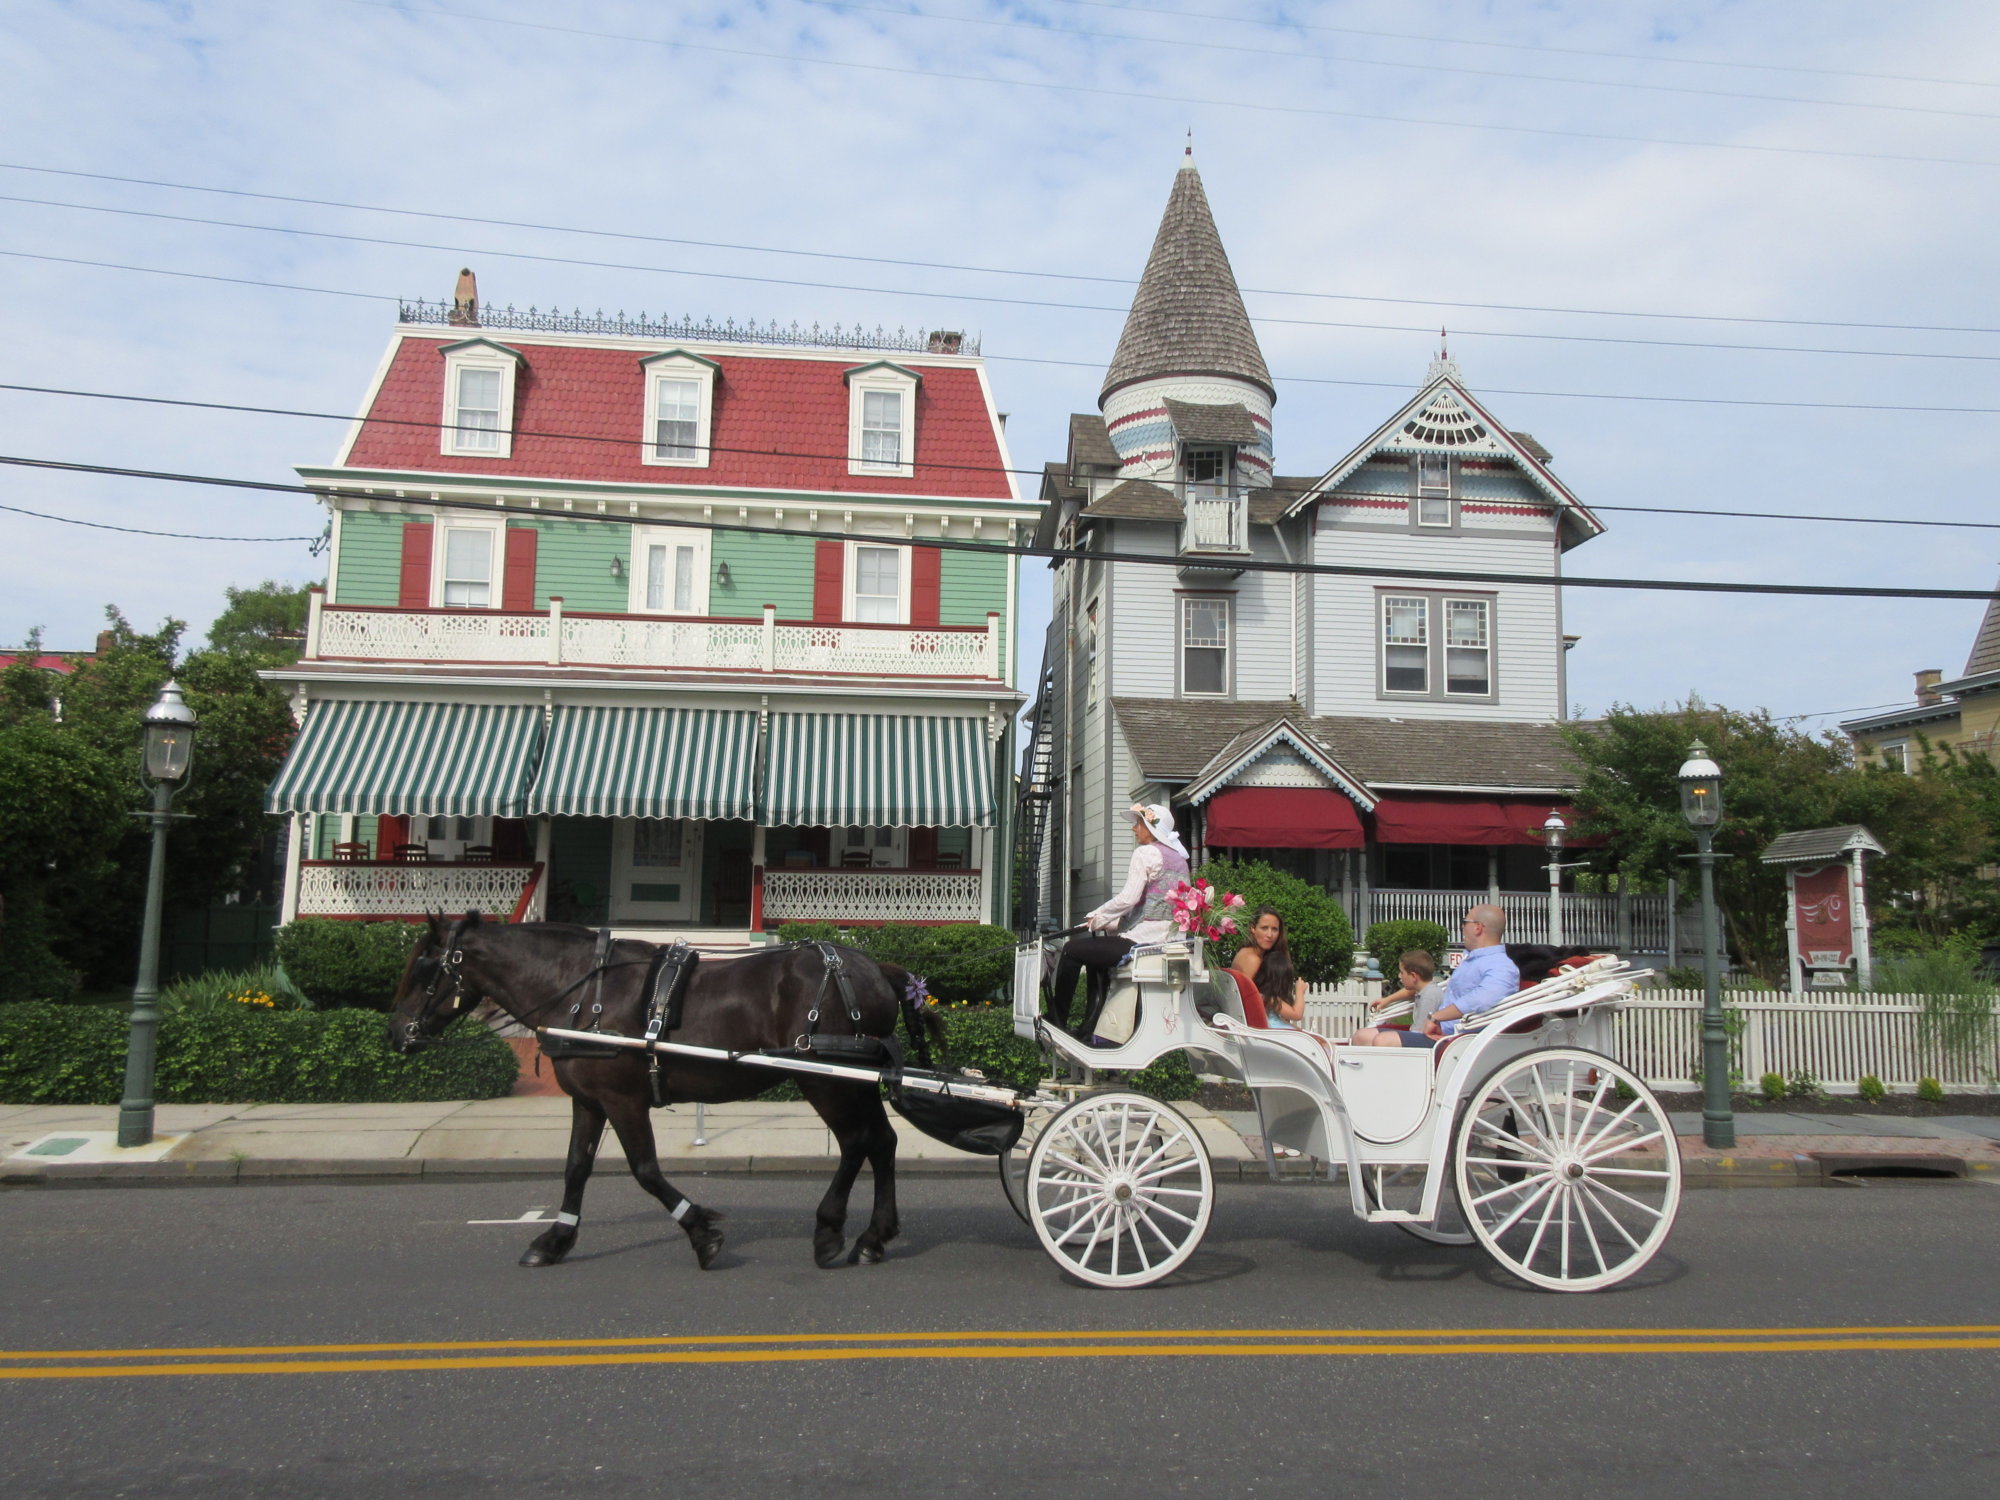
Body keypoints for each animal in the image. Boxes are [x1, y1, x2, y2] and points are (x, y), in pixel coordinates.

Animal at [390, 912, 936, 1272]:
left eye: (423, 970)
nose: (397, 1035)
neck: (581, 992)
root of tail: (874, 968)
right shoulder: (589, 1099)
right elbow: (576, 1168)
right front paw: (555, 1238)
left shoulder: (623, 1099)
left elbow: (646, 1170)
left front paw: (701, 1232)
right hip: (852, 1079)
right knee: (880, 1142)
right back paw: (873, 1236)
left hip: (824, 1078)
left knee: (856, 1143)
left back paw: (829, 1231)